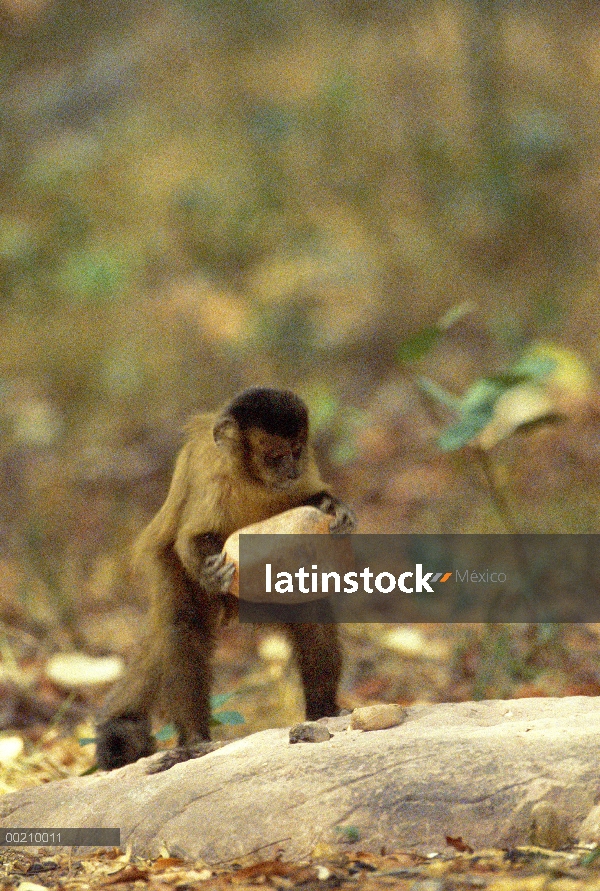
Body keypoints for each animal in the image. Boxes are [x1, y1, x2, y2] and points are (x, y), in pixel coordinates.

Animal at [95, 390, 354, 772]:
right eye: (275, 456)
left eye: (296, 450)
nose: (290, 470)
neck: (252, 479)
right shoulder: (214, 476)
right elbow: (190, 539)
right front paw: (211, 569)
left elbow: (313, 501)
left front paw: (335, 508)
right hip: (176, 576)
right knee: (182, 628)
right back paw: (194, 738)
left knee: (311, 615)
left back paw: (323, 712)